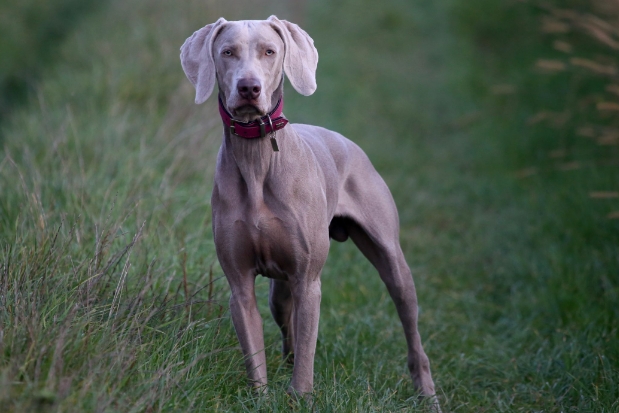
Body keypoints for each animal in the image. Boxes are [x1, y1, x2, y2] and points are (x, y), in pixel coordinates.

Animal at [180, 14, 440, 404]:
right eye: (227, 52)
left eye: (269, 51)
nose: (249, 88)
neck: (257, 159)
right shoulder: (240, 284)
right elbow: (255, 350)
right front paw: (262, 397)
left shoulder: (308, 281)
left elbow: (307, 350)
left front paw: (300, 396)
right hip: (280, 290)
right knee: (286, 324)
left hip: (392, 261)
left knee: (410, 325)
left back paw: (426, 391)